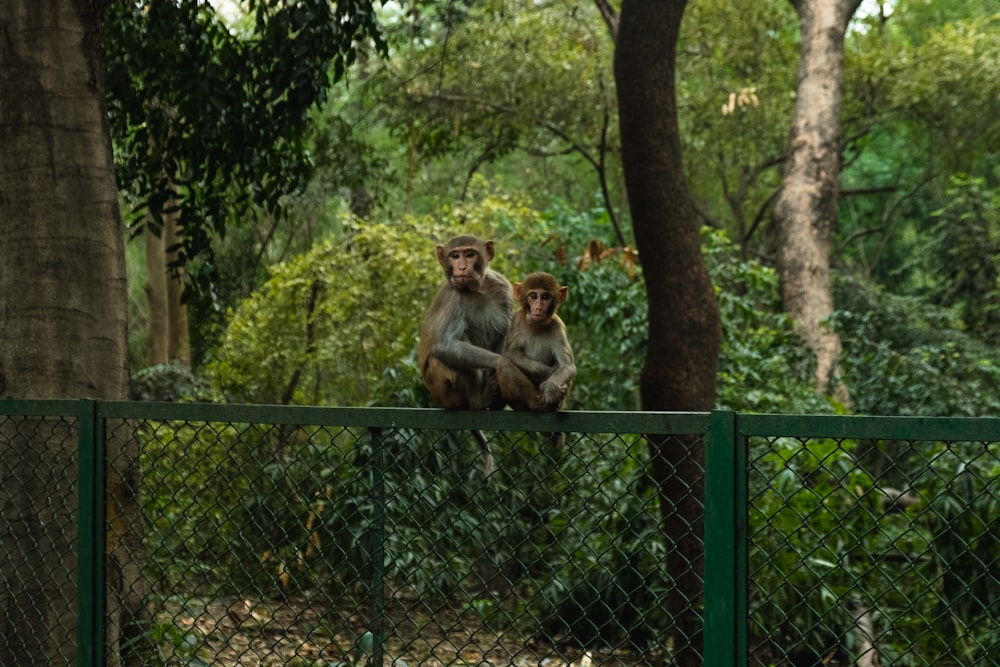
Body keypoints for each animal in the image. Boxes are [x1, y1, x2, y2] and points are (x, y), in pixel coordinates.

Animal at [416, 235, 512, 474]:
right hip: (443, 390)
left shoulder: (503, 287)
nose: (461, 267)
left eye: (469, 254)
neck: (478, 289)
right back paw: (479, 401)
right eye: (454, 255)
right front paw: (506, 364)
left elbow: (506, 332)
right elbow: (443, 345)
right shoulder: (454, 297)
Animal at [494, 272, 576, 412]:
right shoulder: (516, 321)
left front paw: (551, 387)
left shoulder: (558, 326)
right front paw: (550, 375)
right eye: (533, 296)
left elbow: (567, 366)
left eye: (545, 297)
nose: (538, 307)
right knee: (503, 364)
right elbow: (511, 354)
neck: (536, 326)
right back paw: (535, 405)